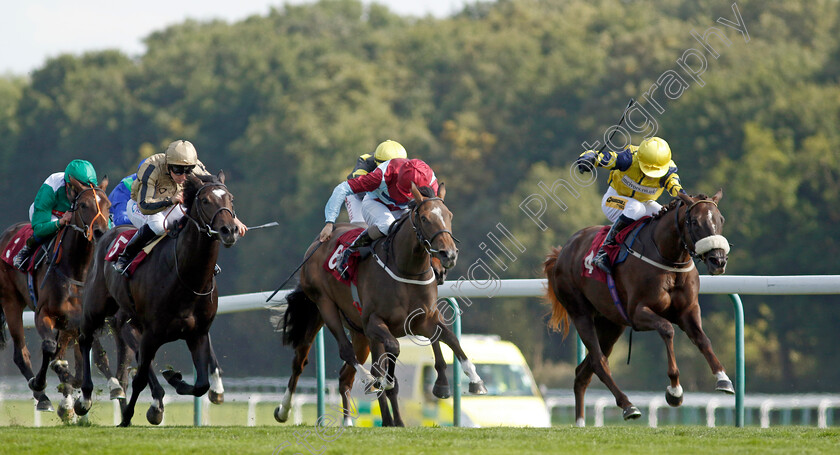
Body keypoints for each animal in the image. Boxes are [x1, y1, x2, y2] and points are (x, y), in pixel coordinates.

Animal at [74, 172, 236, 428]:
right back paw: (85, 398)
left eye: (230, 198)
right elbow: (140, 377)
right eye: (206, 200)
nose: (229, 230)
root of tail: (106, 234)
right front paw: (129, 416)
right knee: (85, 339)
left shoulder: (197, 333)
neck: (187, 278)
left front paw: (175, 378)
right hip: (96, 307)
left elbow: (201, 384)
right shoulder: (150, 332)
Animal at [276, 182, 486, 428]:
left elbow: (450, 338)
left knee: (344, 375)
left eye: (449, 215)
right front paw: (385, 383)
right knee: (316, 357)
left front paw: (472, 380)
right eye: (425, 218)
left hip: (360, 334)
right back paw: (286, 409)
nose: (449, 255)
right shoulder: (375, 322)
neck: (405, 269)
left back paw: (353, 420)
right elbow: (393, 350)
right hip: (324, 307)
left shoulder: (423, 319)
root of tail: (316, 244)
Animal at [544, 191, 736, 426]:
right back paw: (628, 406)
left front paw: (723, 379)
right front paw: (674, 390)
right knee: (599, 362)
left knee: (583, 371)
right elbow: (667, 329)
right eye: (694, 222)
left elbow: (703, 340)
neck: (667, 257)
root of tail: (562, 252)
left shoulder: (688, 311)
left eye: (721, 220)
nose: (718, 260)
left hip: (610, 324)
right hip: (580, 313)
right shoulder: (637, 313)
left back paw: (580, 422)